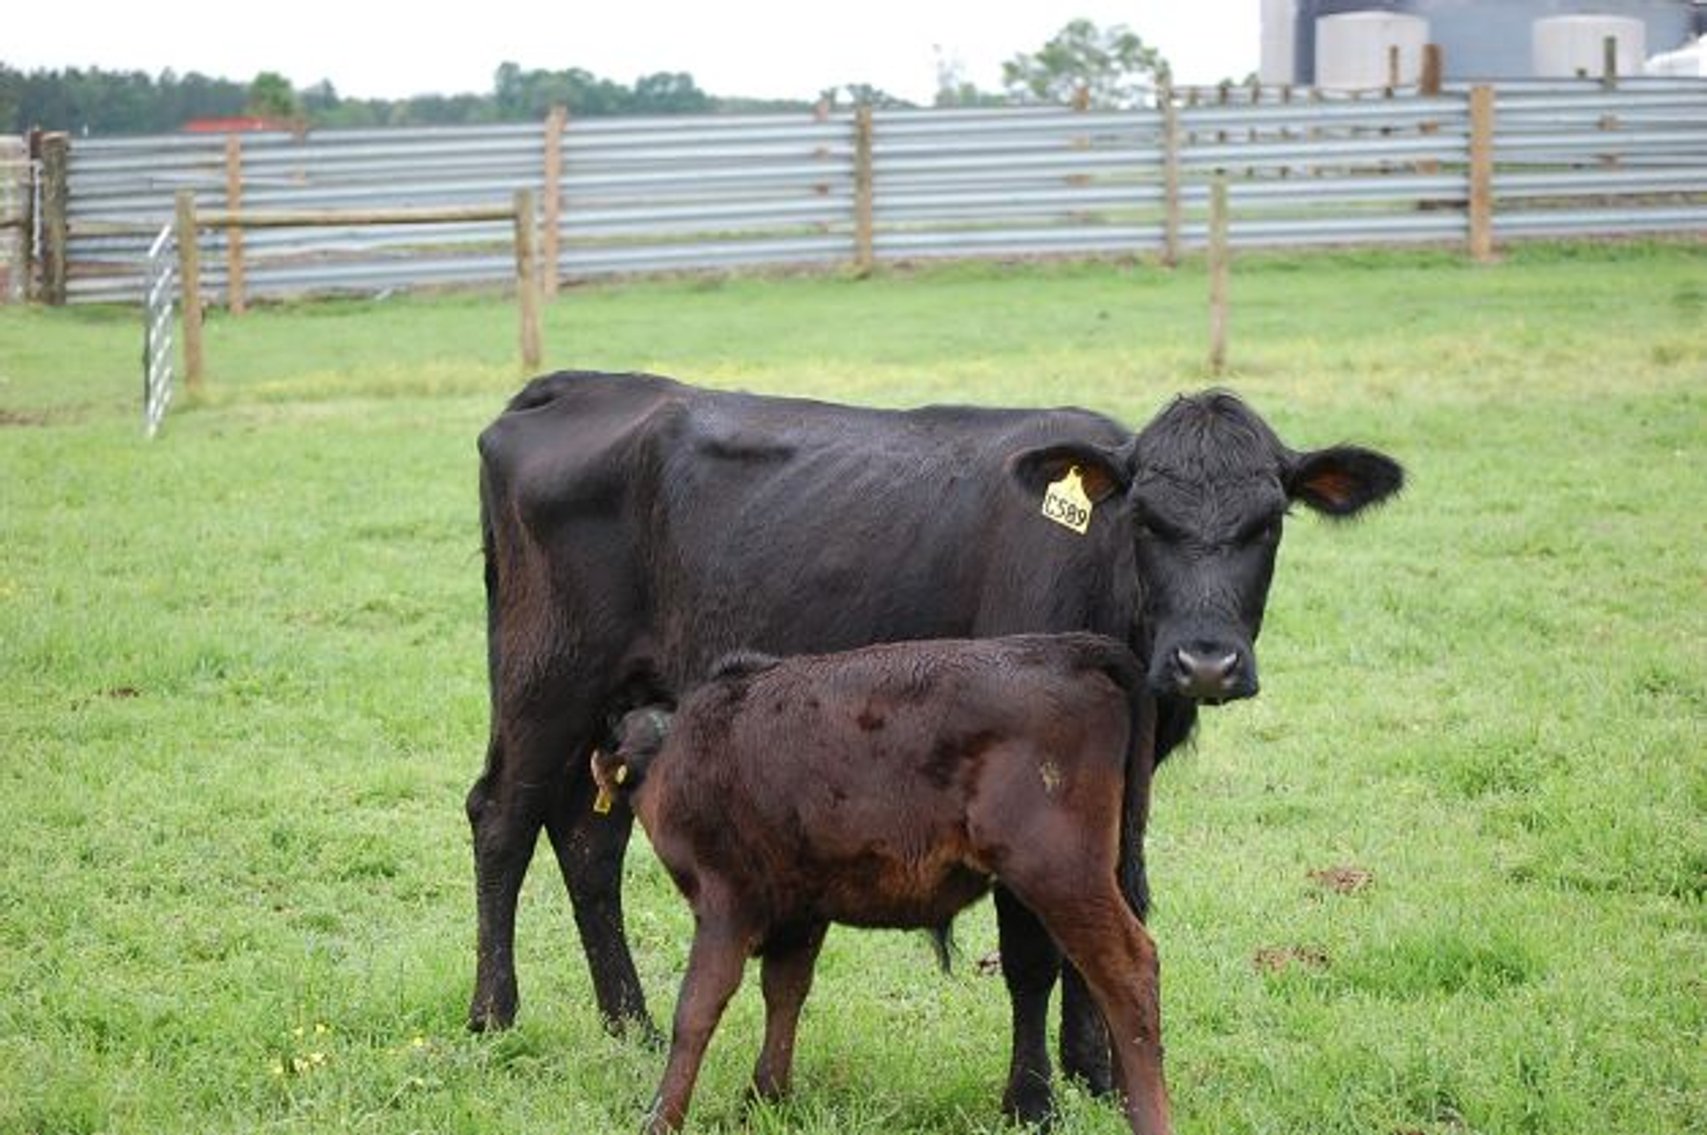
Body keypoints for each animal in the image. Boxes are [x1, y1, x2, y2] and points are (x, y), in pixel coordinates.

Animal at [592, 633, 1172, 1135]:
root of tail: (1067, 649)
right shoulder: (802, 907)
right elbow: (785, 992)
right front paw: (765, 1101)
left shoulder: (724, 901)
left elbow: (696, 1008)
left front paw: (661, 1118)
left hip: (1059, 871)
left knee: (1128, 970)